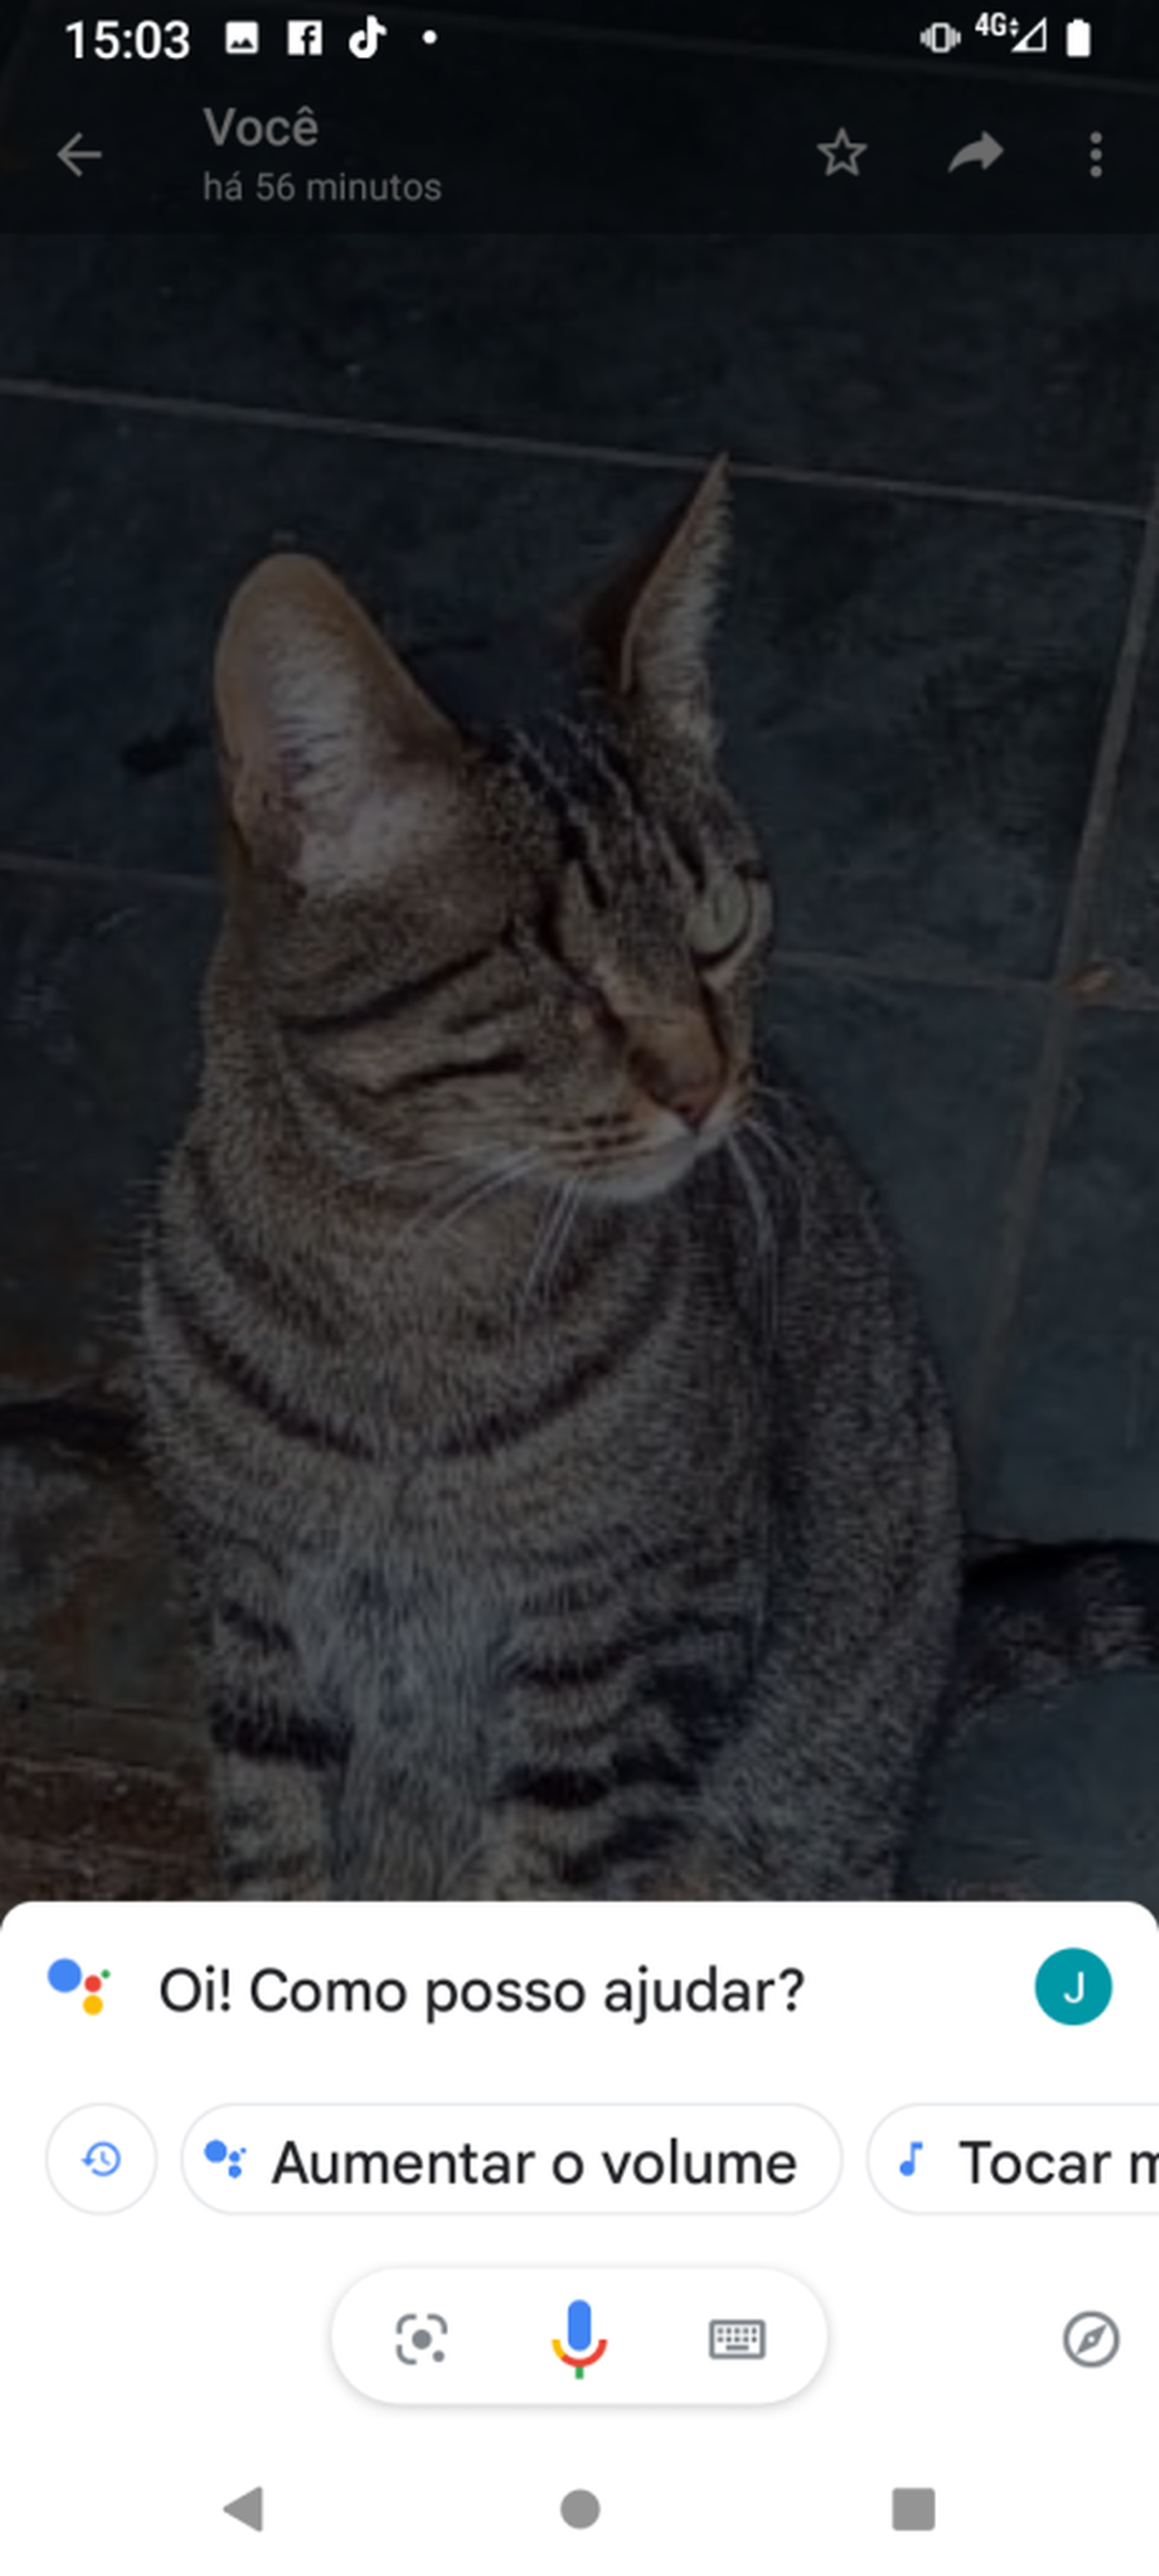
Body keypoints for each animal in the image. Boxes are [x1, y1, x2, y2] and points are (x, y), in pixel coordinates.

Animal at [133, 459, 1149, 1903]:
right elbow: (279, 1866)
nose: (705, 1084)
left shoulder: (638, 1632)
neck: (403, 1275)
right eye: (559, 973)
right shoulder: (255, 1617)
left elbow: (554, 1885)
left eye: (720, 921)